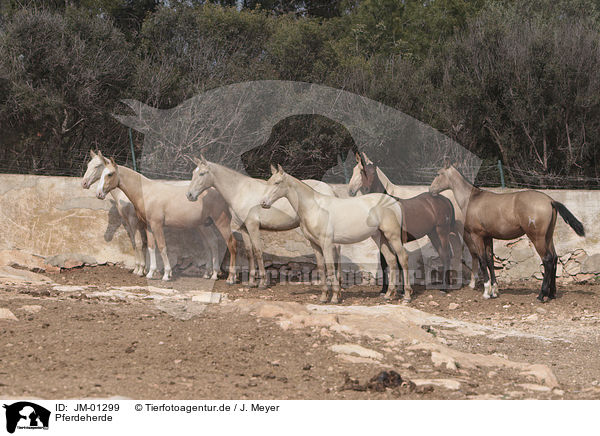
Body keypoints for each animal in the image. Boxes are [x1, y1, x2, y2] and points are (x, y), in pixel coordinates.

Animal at [94, 155, 237, 282]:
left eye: (110, 174)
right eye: (102, 174)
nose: (99, 193)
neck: (146, 193)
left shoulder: (157, 225)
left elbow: (162, 247)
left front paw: (166, 274)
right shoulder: (148, 226)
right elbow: (151, 247)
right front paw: (150, 273)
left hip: (221, 222)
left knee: (231, 243)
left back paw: (230, 277)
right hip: (204, 225)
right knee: (212, 243)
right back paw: (211, 274)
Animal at [185, 157, 340, 290]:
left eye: (202, 173)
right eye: (193, 173)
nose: (189, 195)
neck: (240, 191)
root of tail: (330, 189)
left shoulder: (253, 226)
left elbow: (258, 251)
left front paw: (262, 282)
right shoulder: (244, 228)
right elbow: (249, 252)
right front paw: (251, 282)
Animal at [258, 164, 412, 304]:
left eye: (277, 183)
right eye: (268, 182)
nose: (263, 203)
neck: (314, 208)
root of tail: (394, 202)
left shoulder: (326, 244)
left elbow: (331, 268)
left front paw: (334, 297)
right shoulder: (315, 245)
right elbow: (321, 268)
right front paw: (323, 297)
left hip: (393, 236)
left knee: (402, 258)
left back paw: (407, 296)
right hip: (380, 237)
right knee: (391, 260)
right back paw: (388, 294)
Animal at [346, 152, 454, 292]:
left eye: (373, 173)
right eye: (359, 171)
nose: (364, 189)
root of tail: (444, 199)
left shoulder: (396, 238)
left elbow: (398, 261)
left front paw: (402, 289)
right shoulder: (383, 239)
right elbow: (385, 262)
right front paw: (385, 289)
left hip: (442, 232)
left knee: (446, 255)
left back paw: (445, 288)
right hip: (433, 234)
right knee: (443, 254)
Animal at [428, 162, 584, 302]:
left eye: (438, 174)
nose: (430, 190)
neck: (472, 199)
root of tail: (550, 200)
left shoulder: (477, 236)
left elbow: (482, 260)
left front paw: (486, 292)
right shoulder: (488, 237)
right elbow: (490, 260)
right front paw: (494, 291)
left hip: (537, 238)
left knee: (547, 260)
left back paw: (541, 295)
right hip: (548, 237)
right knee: (555, 257)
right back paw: (551, 294)